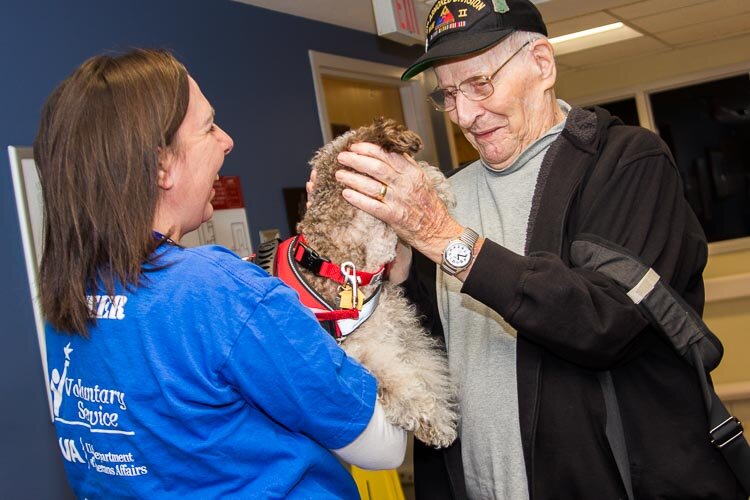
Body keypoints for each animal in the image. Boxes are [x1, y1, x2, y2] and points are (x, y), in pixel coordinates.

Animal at [296, 119, 462, 448]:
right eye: (411, 167)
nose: (444, 189)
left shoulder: (400, 335)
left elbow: (425, 372)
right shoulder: (367, 351)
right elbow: (404, 389)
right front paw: (434, 424)